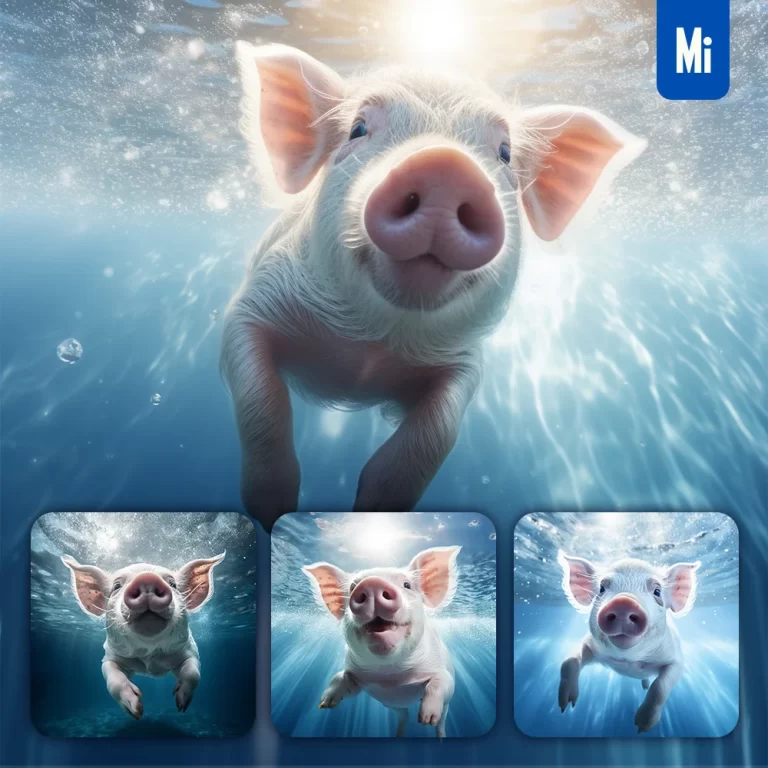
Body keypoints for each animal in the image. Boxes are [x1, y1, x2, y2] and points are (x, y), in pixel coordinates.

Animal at [62, 552, 225, 719]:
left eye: (173, 584)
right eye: (116, 586)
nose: (146, 578)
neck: (149, 660)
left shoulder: (189, 650)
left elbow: (192, 673)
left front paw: (181, 705)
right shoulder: (110, 656)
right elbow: (114, 680)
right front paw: (137, 711)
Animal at [221, 43, 647, 530]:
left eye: (504, 153)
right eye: (358, 128)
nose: (445, 164)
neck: (367, 354)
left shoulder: (464, 361)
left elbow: (436, 432)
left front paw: (370, 508)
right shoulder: (256, 301)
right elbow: (262, 399)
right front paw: (271, 512)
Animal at [302, 546, 461, 737]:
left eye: (407, 585)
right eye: (352, 587)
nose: (372, 583)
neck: (391, 676)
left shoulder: (443, 672)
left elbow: (439, 682)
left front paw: (425, 719)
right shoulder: (361, 682)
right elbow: (340, 677)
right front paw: (324, 704)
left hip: (445, 707)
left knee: (441, 721)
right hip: (393, 706)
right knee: (403, 716)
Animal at [557, 550, 701, 733]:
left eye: (657, 592)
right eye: (602, 588)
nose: (624, 601)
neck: (629, 659)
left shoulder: (676, 660)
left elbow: (660, 686)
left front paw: (641, 727)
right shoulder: (591, 645)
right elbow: (569, 661)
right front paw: (566, 706)